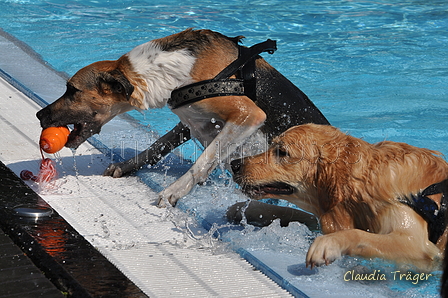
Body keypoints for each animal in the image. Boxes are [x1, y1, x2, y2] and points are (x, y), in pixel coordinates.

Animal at [36, 29, 328, 207]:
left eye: (72, 90)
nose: (39, 114)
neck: (169, 69)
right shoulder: (191, 121)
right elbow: (157, 146)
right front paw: (128, 166)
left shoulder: (248, 115)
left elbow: (202, 162)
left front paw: (175, 191)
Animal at [231, 123, 448, 270]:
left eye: (282, 152)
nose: (234, 164)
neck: (366, 181)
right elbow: (302, 215)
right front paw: (247, 209)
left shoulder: (418, 244)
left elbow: (357, 234)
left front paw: (327, 244)